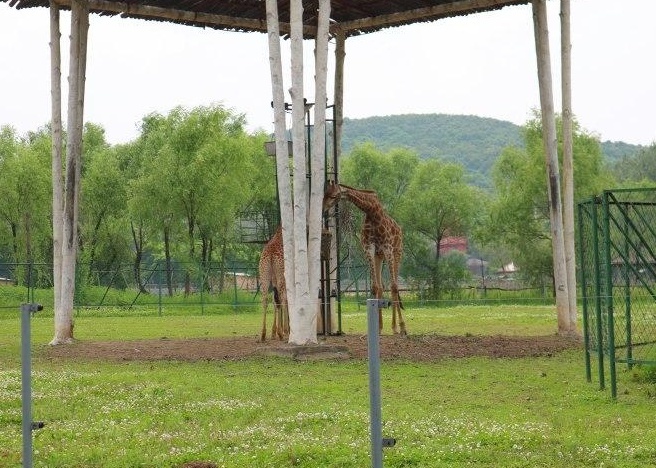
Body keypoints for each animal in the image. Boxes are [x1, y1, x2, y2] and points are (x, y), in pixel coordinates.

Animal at [322, 180, 408, 336]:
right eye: (325, 193)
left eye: (334, 195)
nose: (323, 209)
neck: (371, 210)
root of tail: (399, 228)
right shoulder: (369, 249)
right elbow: (375, 287)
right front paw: (378, 328)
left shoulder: (387, 248)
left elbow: (394, 286)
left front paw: (403, 327)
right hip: (379, 257)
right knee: (382, 286)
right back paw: (388, 327)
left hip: (397, 252)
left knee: (394, 286)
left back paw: (397, 327)